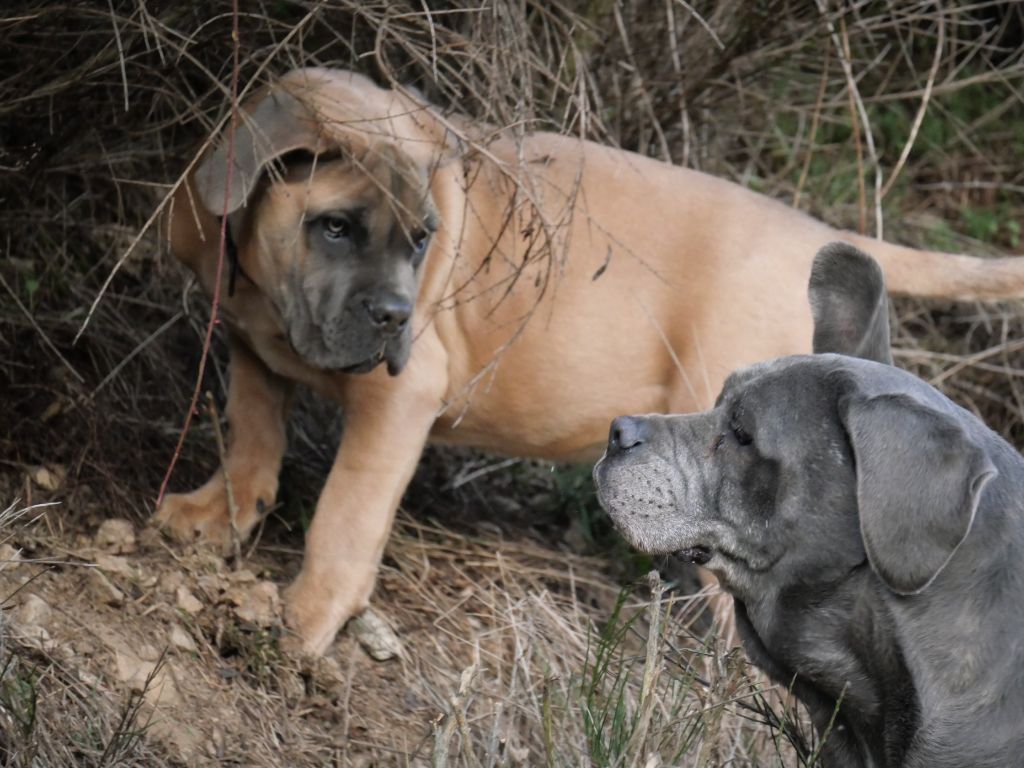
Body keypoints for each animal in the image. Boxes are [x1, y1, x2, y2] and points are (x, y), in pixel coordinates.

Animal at [153, 67, 1024, 655]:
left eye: (426, 238)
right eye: (334, 227)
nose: (396, 316)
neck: (271, 297)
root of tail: (811, 232)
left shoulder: (399, 399)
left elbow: (345, 515)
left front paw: (302, 620)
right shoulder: (251, 345)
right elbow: (252, 437)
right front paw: (213, 516)